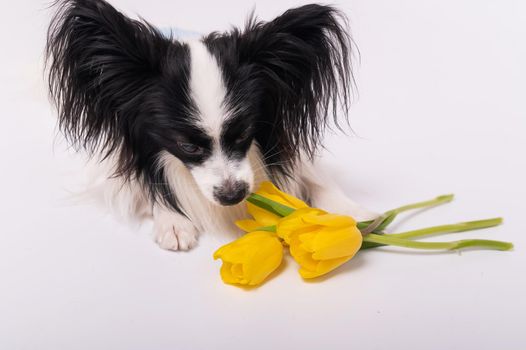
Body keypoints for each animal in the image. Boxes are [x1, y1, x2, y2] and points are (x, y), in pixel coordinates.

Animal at [44, 0, 376, 252]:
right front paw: (172, 220)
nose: (232, 196)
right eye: (187, 146)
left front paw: (352, 212)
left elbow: (316, 177)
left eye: (244, 134)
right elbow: (151, 182)